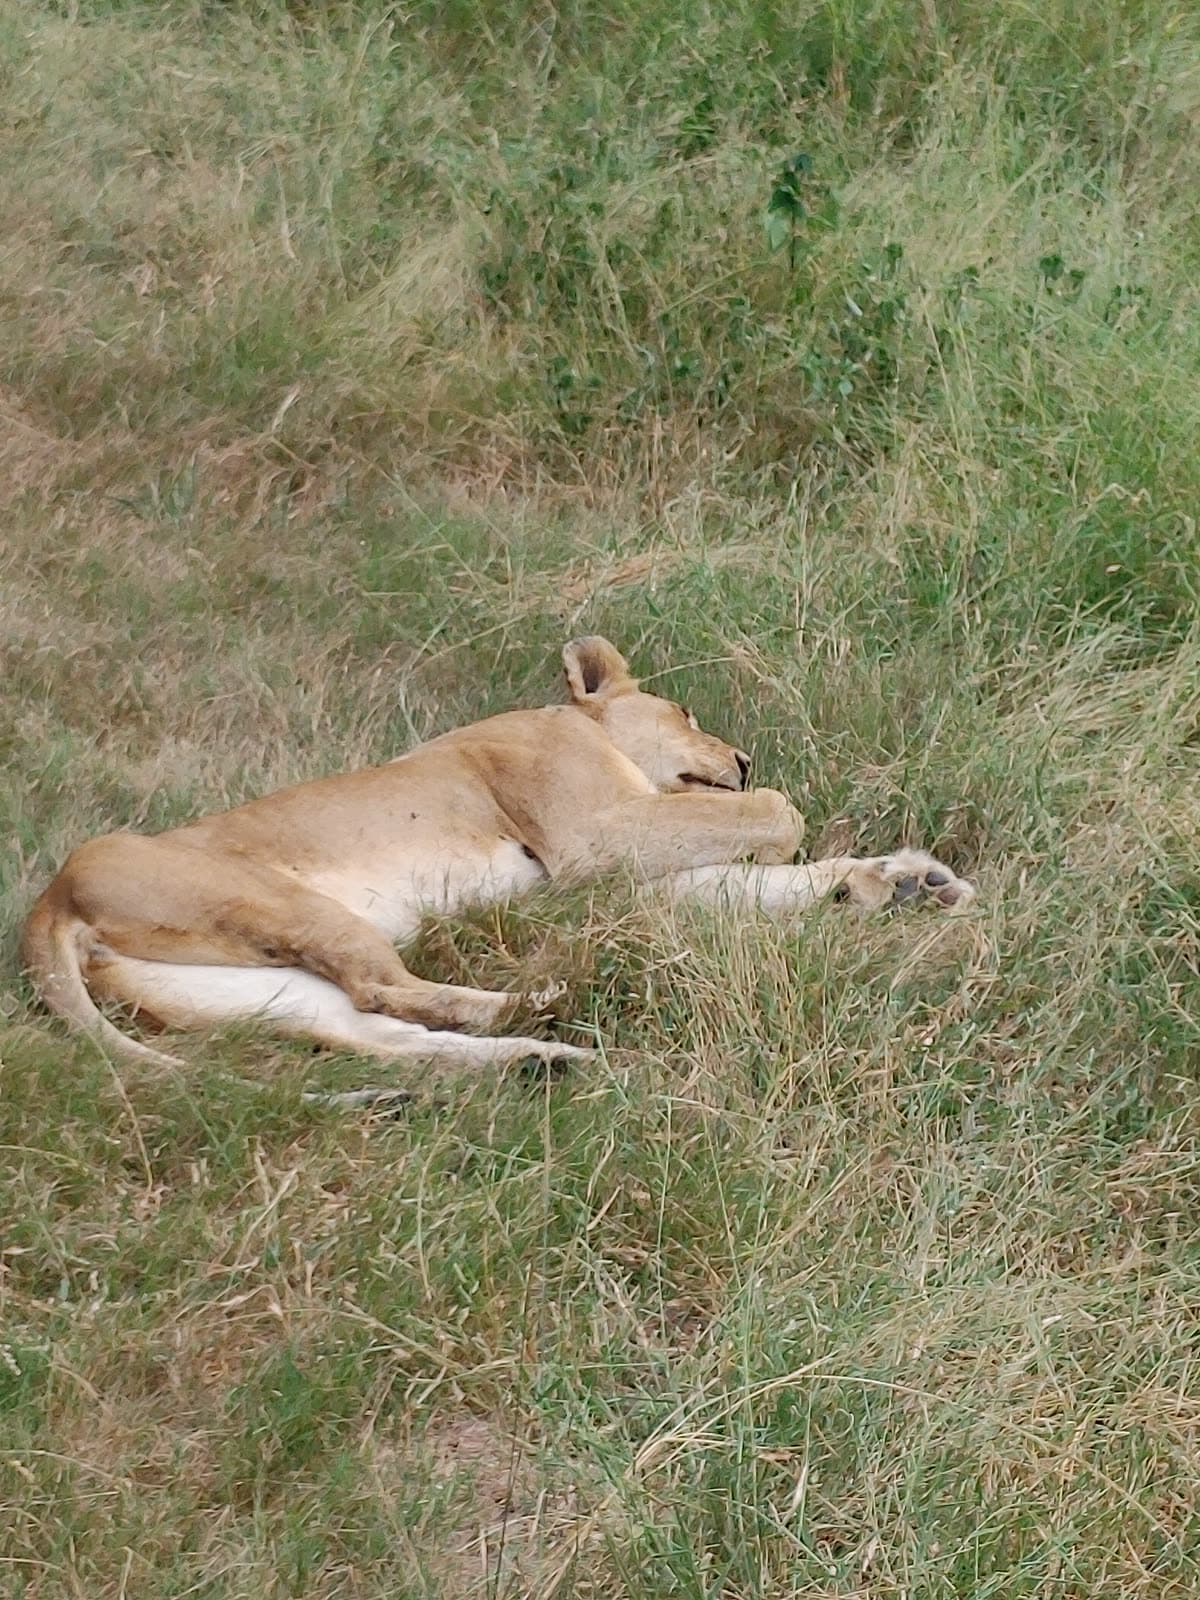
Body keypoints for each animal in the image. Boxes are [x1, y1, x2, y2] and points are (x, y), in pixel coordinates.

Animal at [22, 636, 974, 1096]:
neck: (585, 730)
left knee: (383, 1034)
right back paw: (551, 999)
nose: (741, 757)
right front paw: (829, 847)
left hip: (248, 987)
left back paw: (540, 1061)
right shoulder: (594, 834)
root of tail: (48, 898)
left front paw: (898, 882)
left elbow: (748, 885)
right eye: (685, 710)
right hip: (278, 903)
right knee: (386, 991)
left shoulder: (631, 871)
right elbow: (774, 816)